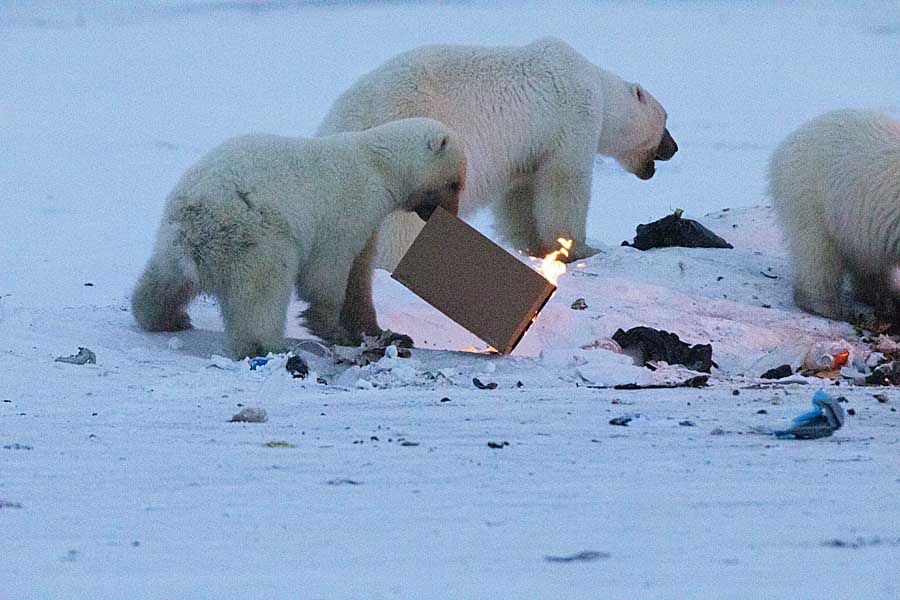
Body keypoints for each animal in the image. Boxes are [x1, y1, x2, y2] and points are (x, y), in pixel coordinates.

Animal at [135, 119, 472, 358]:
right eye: (455, 184)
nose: (451, 213)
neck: (379, 164)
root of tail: (196, 218)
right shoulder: (350, 205)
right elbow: (327, 271)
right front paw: (331, 328)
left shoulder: (368, 221)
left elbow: (359, 276)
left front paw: (388, 333)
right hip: (257, 233)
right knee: (263, 291)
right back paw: (266, 346)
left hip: (176, 237)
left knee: (165, 278)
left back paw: (163, 317)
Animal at [316, 37, 676, 270]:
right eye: (666, 121)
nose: (673, 148)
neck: (596, 83)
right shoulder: (570, 119)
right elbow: (563, 185)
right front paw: (583, 249)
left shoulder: (529, 148)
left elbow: (520, 198)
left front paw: (532, 246)